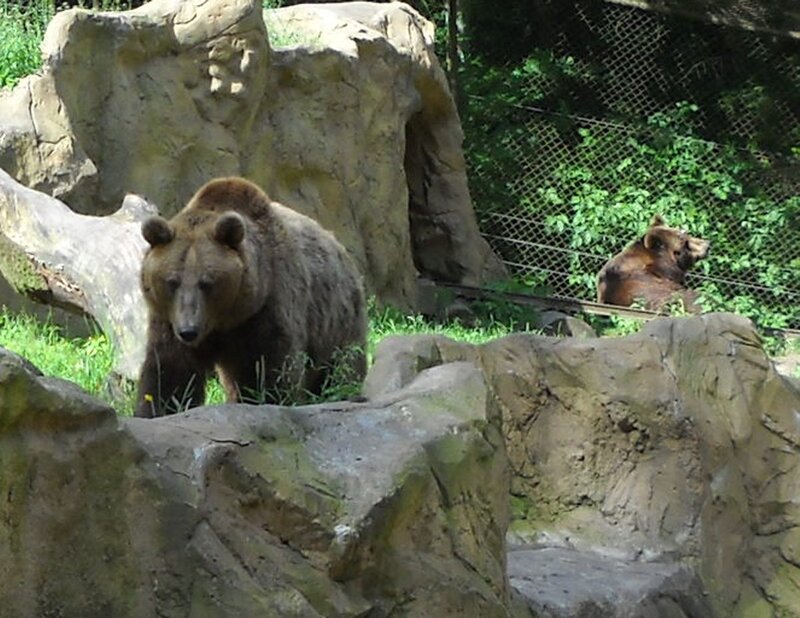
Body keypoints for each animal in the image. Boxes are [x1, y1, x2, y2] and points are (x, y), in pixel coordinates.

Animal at [135, 176, 368, 417]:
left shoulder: (267, 307)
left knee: (343, 365)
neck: (224, 321)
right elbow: (170, 371)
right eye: (171, 281)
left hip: (338, 318)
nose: (188, 331)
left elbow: (270, 368)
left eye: (207, 282)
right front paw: (157, 410)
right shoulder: (168, 319)